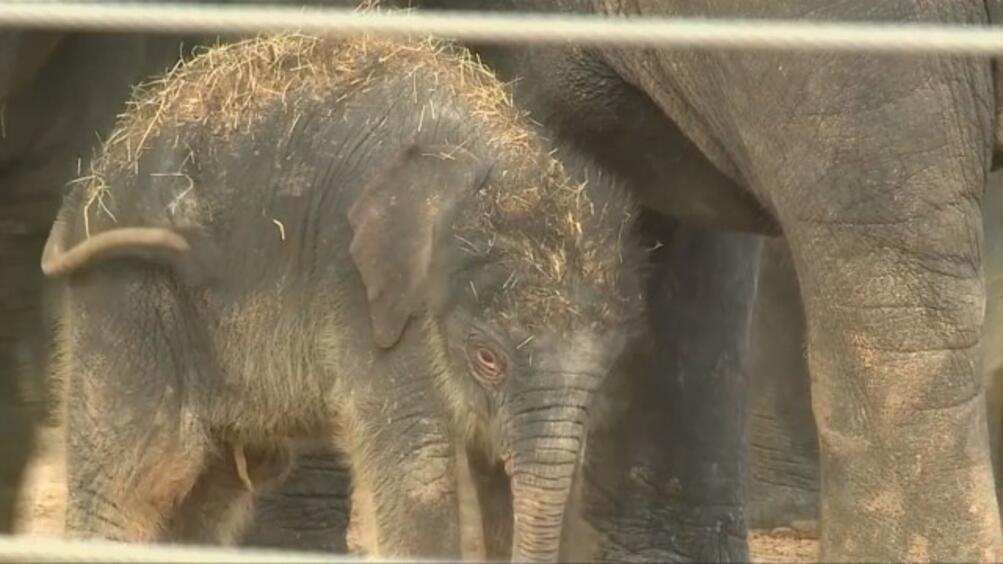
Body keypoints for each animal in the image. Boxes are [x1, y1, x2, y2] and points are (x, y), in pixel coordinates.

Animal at [41, 34, 641, 557]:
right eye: (487, 358)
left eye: (608, 369)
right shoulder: (365, 299)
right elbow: (420, 472)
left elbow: (506, 476)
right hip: (125, 288)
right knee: (141, 471)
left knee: (216, 484)